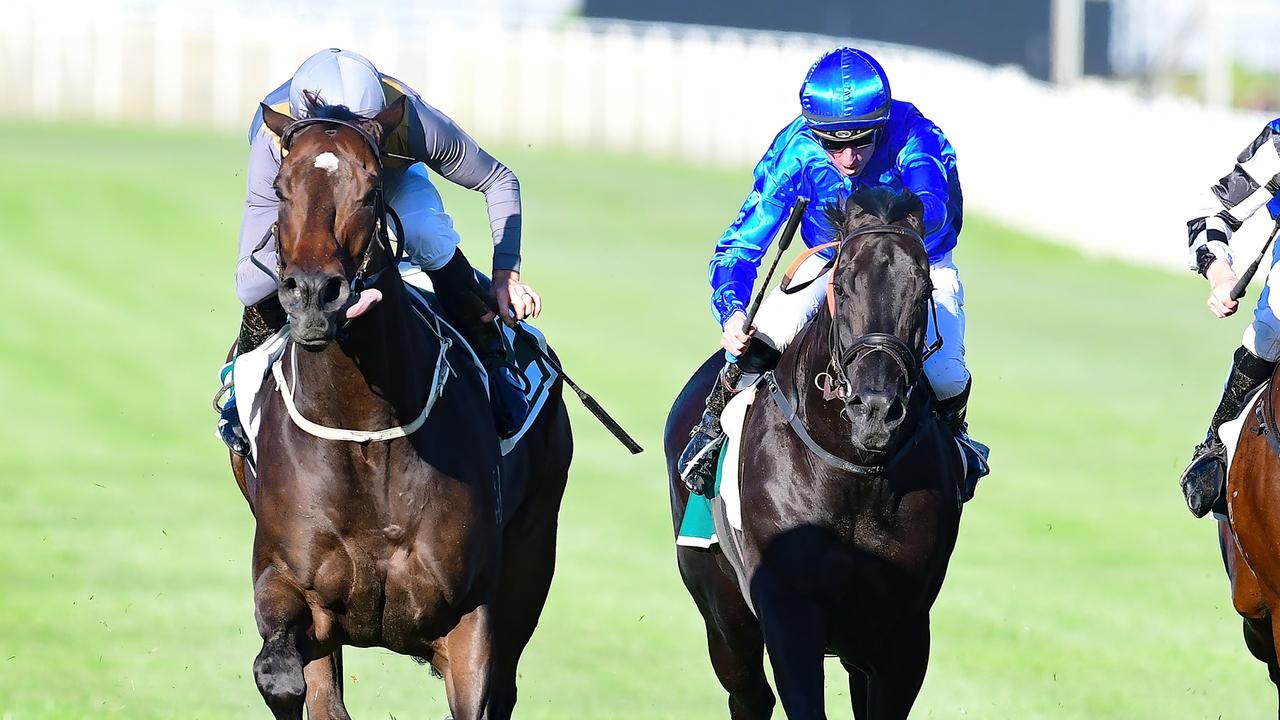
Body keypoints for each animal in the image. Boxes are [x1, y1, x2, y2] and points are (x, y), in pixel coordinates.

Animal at [227, 96, 573, 717]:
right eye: (282, 188)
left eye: (370, 188)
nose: (313, 295)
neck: (364, 430)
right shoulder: (290, 582)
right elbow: (282, 676)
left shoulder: (470, 619)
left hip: (534, 549)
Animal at [670, 188, 962, 712]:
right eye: (841, 286)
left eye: (923, 289)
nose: (875, 409)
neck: (856, 474)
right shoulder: (790, 615)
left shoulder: (902, 631)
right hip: (722, 610)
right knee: (749, 695)